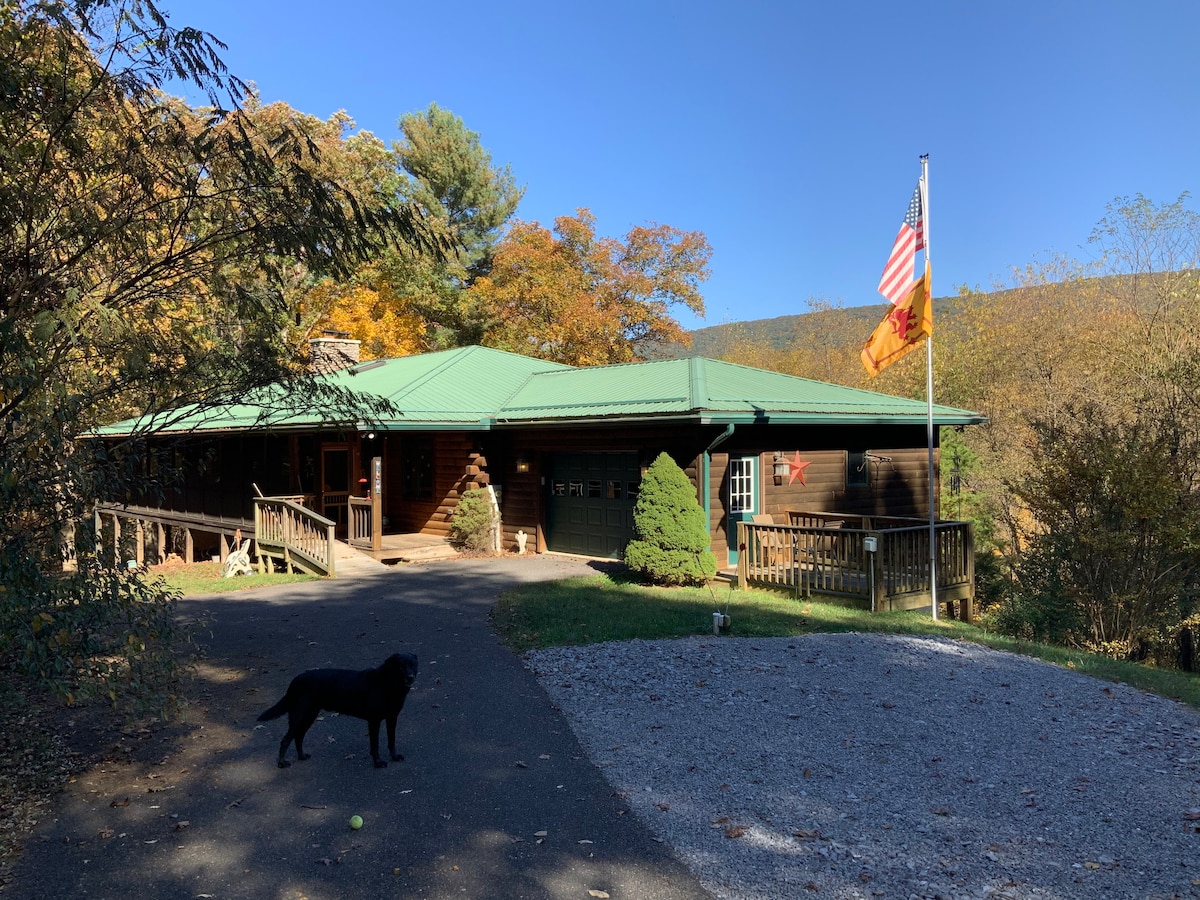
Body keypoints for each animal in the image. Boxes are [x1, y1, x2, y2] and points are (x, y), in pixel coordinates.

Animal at [256, 652, 417, 772]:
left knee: (298, 737)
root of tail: (296, 679)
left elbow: (391, 740)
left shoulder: (392, 718)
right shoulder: (374, 721)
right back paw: (282, 763)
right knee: (286, 740)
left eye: (413, 665)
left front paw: (394, 756)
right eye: (401, 667)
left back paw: (301, 756)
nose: (411, 677)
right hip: (299, 717)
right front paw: (378, 763)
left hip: (310, 716)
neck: (388, 683)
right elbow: (375, 745)